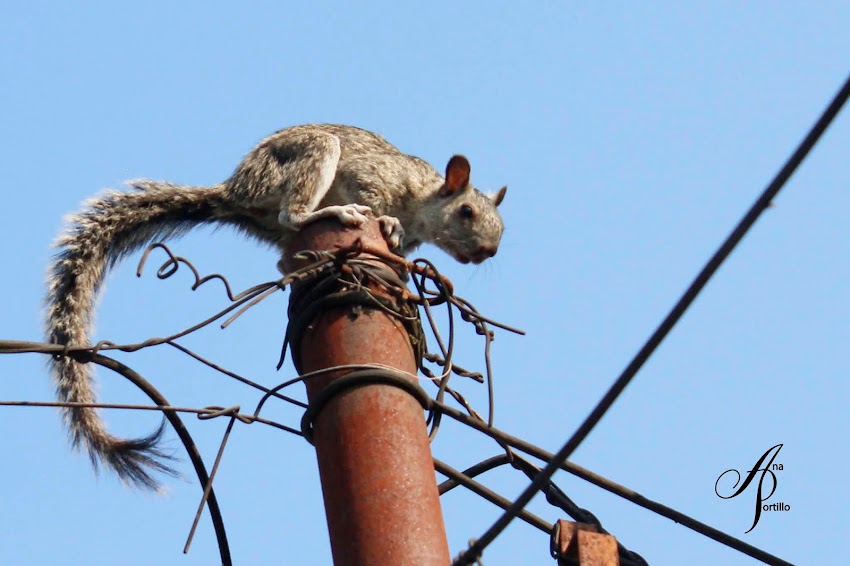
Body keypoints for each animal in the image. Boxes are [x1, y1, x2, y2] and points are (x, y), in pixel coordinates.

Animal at [44, 123, 504, 488]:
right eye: (466, 211)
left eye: (500, 225)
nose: (488, 251)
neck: (421, 198)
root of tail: (234, 191)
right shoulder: (373, 179)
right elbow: (374, 200)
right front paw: (386, 222)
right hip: (310, 158)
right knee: (292, 215)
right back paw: (337, 211)